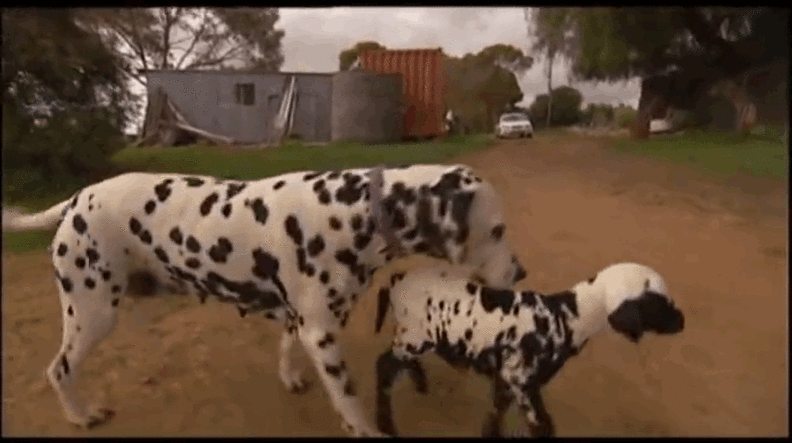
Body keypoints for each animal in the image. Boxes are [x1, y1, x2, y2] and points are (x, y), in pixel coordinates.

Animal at [372, 262, 685, 437]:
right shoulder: (522, 381)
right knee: (384, 366)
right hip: (414, 338)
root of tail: (395, 280)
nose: (682, 321)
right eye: (660, 302)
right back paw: (385, 424)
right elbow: (543, 426)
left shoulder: (509, 379)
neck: (566, 317)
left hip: (416, 338)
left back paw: (420, 382)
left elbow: (496, 412)